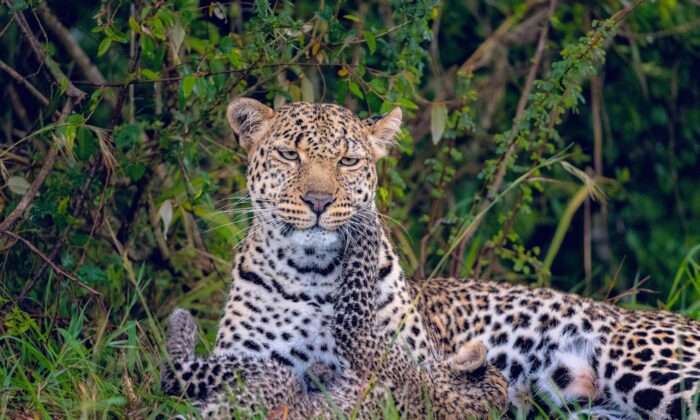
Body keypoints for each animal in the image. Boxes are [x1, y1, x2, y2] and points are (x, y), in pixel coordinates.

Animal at [167, 97, 700, 418]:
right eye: (288, 155)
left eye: (348, 161)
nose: (319, 201)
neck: (313, 275)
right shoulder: (244, 366)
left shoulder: (403, 369)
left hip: (646, 366)